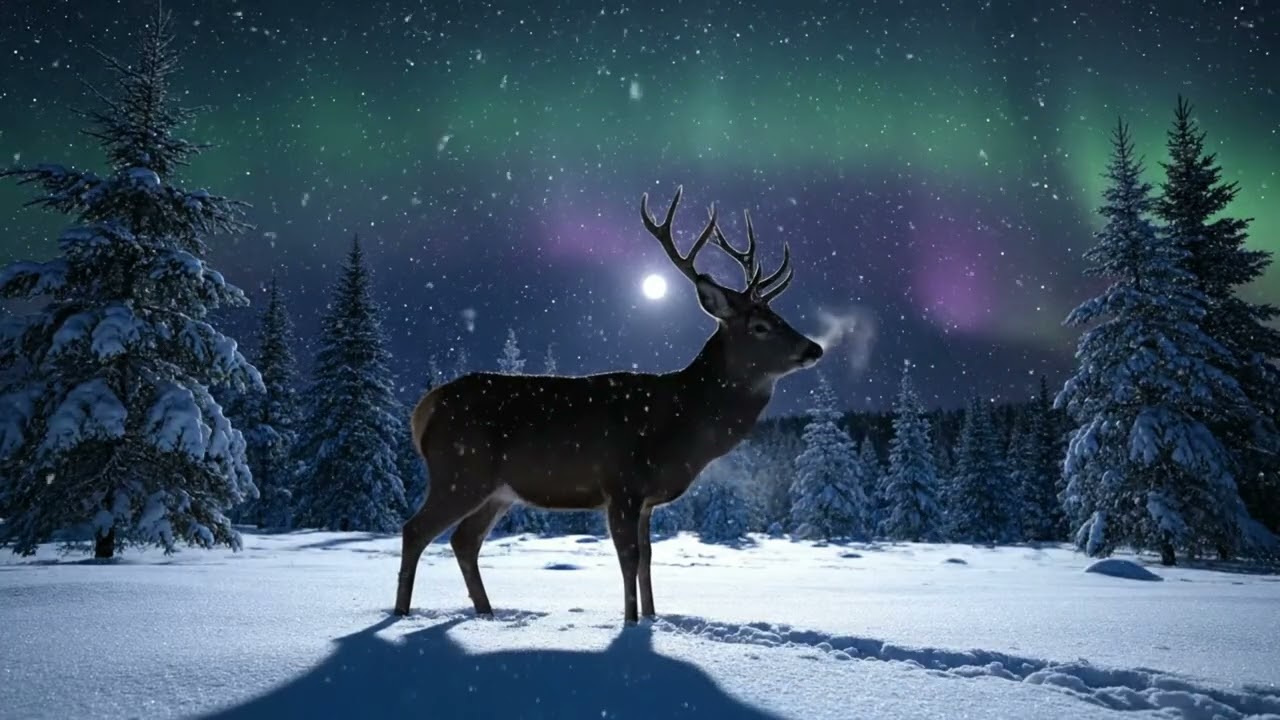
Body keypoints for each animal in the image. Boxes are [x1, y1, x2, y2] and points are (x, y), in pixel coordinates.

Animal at [394, 186, 825, 624]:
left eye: (780, 316)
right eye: (760, 327)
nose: (815, 348)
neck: (681, 424)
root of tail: (424, 407)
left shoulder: (646, 500)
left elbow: (648, 558)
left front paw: (651, 618)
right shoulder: (620, 483)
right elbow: (628, 559)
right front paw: (631, 622)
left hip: (497, 490)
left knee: (464, 540)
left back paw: (486, 614)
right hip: (460, 470)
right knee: (415, 530)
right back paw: (400, 614)